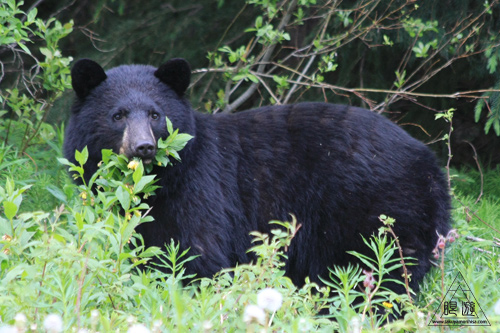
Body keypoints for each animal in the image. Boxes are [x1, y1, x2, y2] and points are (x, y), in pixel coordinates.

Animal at [64, 58, 452, 292]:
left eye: (156, 114)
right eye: (118, 115)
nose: (144, 147)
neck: (161, 183)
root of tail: (431, 164)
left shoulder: (199, 192)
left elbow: (197, 255)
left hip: (373, 210)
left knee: (377, 272)